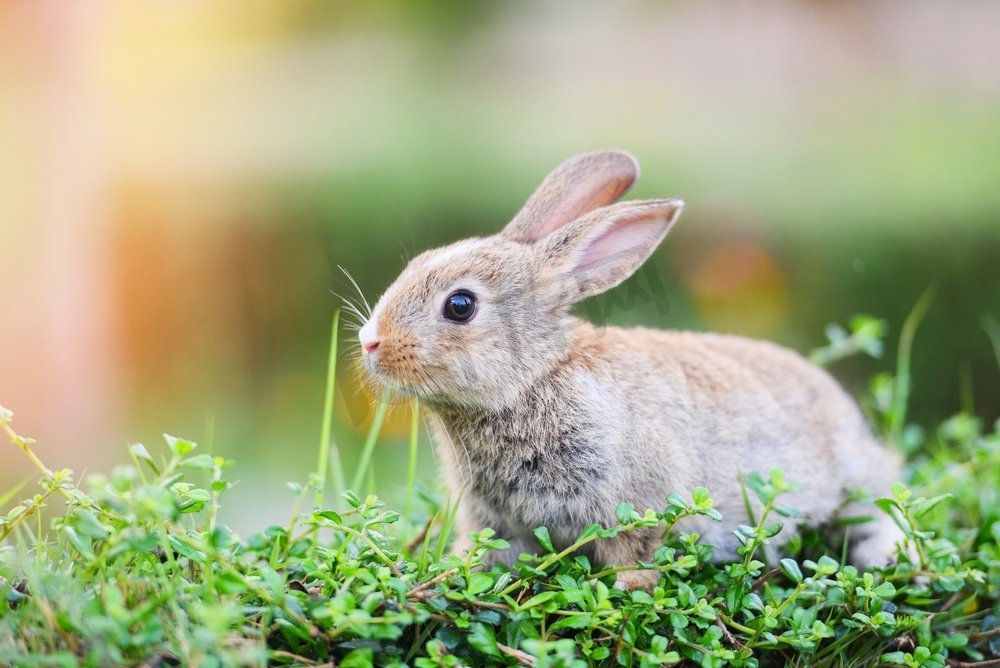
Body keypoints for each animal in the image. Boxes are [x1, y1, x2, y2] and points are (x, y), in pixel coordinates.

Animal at [358, 149, 908, 588]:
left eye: (460, 306)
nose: (370, 341)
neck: (536, 376)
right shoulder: (492, 520)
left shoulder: (636, 503)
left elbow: (635, 555)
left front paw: (628, 589)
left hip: (853, 481)